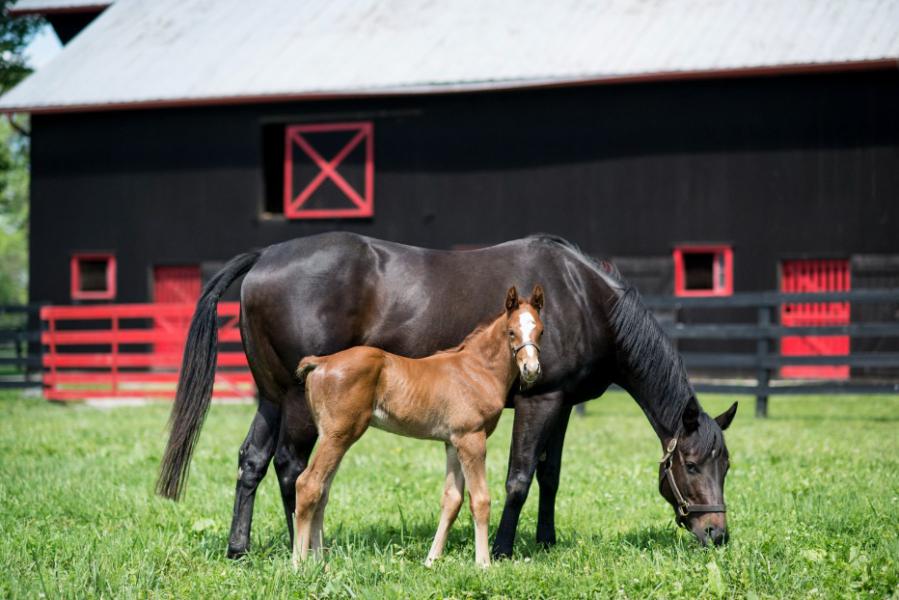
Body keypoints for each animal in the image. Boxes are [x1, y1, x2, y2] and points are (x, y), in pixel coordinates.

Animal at [296, 286, 544, 568]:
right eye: (511, 332)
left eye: (540, 331)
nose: (531, 369)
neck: (477, 371)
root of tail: (322, 362)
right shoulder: (472, 439)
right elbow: (480, 499)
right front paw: (483, 564)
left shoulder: (452, 442)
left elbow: (452, 499)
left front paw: (431, 560)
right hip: (337, 435)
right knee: (308, 484)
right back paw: (299, 565)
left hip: (336, 436)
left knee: (323, 491)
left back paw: (320, 563)